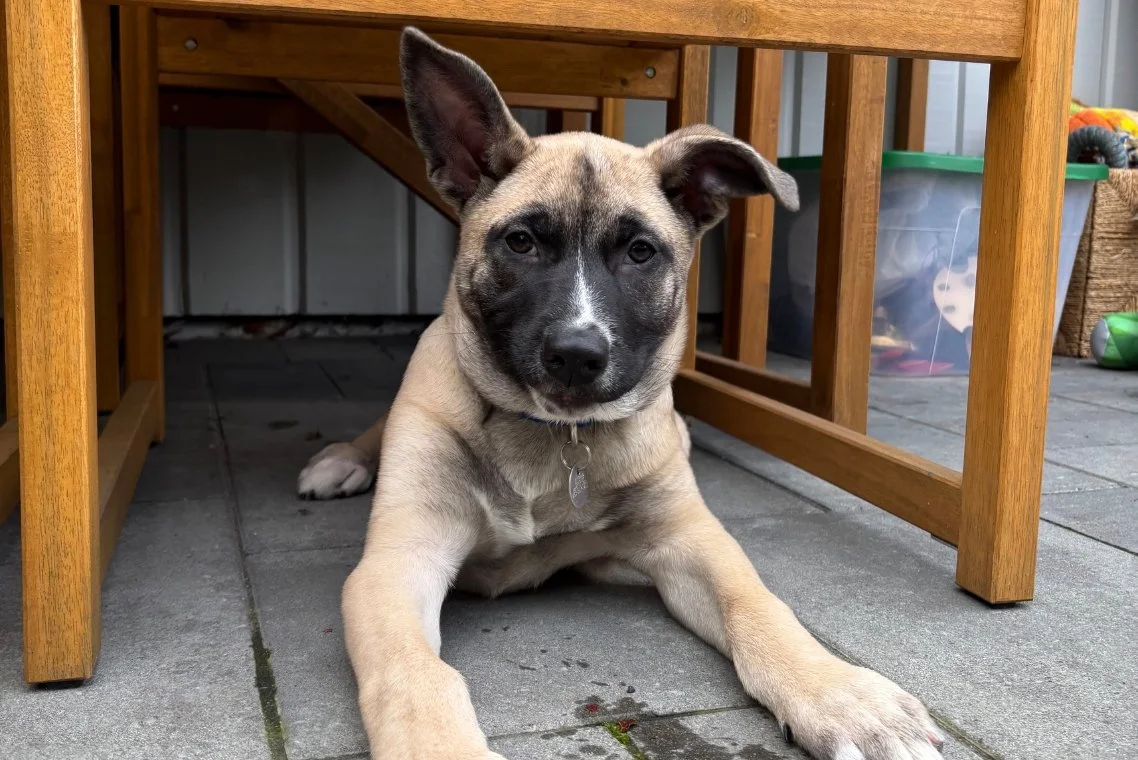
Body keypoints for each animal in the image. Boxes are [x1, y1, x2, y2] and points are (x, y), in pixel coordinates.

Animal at [296, 27, 945, 760]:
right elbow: (413, 672)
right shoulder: (396, 562)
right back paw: (339, 461)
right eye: (520, 242)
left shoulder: (688, 539)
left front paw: (842, 696)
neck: (552, 438)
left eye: (640, 252)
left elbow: (759, 604)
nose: (578, 356)